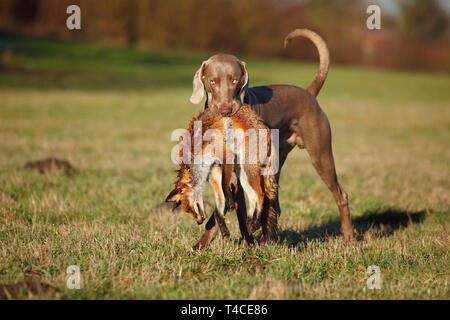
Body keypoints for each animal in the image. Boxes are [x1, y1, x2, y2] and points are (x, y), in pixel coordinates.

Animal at [165, 104, 278, 244]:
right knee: (253, 198)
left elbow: (225, 187)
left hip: (247, 166)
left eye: (189, 208)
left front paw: (230, 202)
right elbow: (218, 209)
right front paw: (224, 230)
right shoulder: (213, 174)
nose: (199, 222)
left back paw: (255, 223)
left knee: (261, 194)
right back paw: (251, 223)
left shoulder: (226, 155)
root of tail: (266, 127)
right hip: (242, 171)